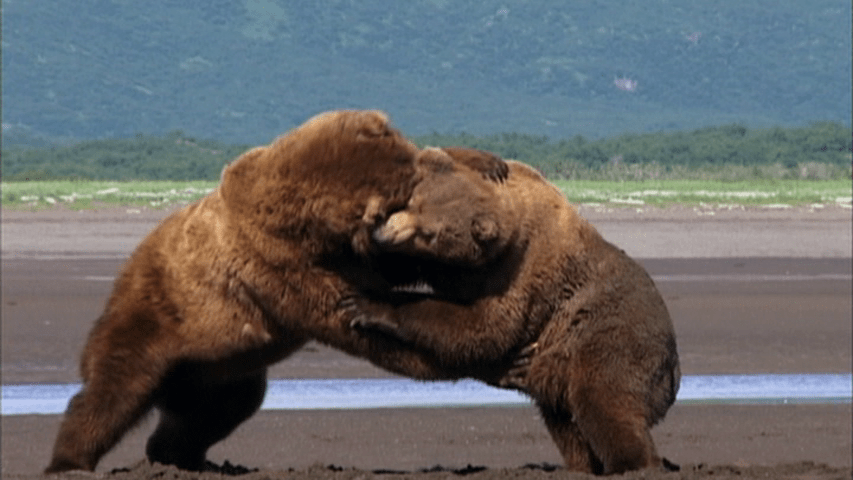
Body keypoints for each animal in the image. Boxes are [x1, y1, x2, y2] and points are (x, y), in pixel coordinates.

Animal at [44, 112, 513, 473]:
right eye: (405, 196)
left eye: (417, 169)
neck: (303, 220)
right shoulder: (277, 262)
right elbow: (338, 310)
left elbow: (387, 268)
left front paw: (490, 162)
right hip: (151, 319)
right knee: (111, 393)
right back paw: (69, 461)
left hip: (218, 370)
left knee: (217, 412)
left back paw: (184, 457)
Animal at [347, 152, 681, 475]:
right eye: (410, 202)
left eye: (429, 233)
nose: (382, 234)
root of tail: (674, 369)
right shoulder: (442, 265)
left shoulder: (517, 273)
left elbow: (484, 327)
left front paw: (369, 305)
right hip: (560, 362)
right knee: (566, 424)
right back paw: (584, 465)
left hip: (610, 338)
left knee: (604, 404)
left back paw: (633, 465)